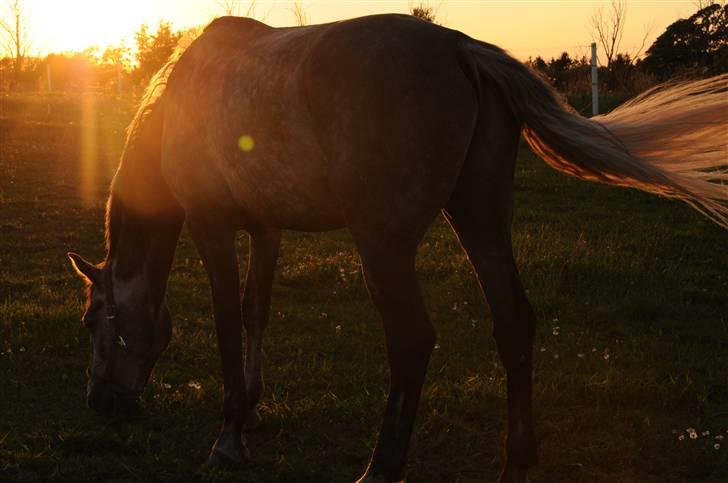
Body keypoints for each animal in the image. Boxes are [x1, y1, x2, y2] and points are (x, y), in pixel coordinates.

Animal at [65, 13, 724, 482]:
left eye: (92, 320)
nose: (99, 402)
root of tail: (462, 49)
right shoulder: (266, 230)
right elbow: (257, 312)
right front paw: (251, 409)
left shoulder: (212, 225)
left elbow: (228, 323)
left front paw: (229, 438)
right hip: (480, 219)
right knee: (513, 321)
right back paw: (514, 464)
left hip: (384, 244)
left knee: (412, 339)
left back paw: (381, 467)